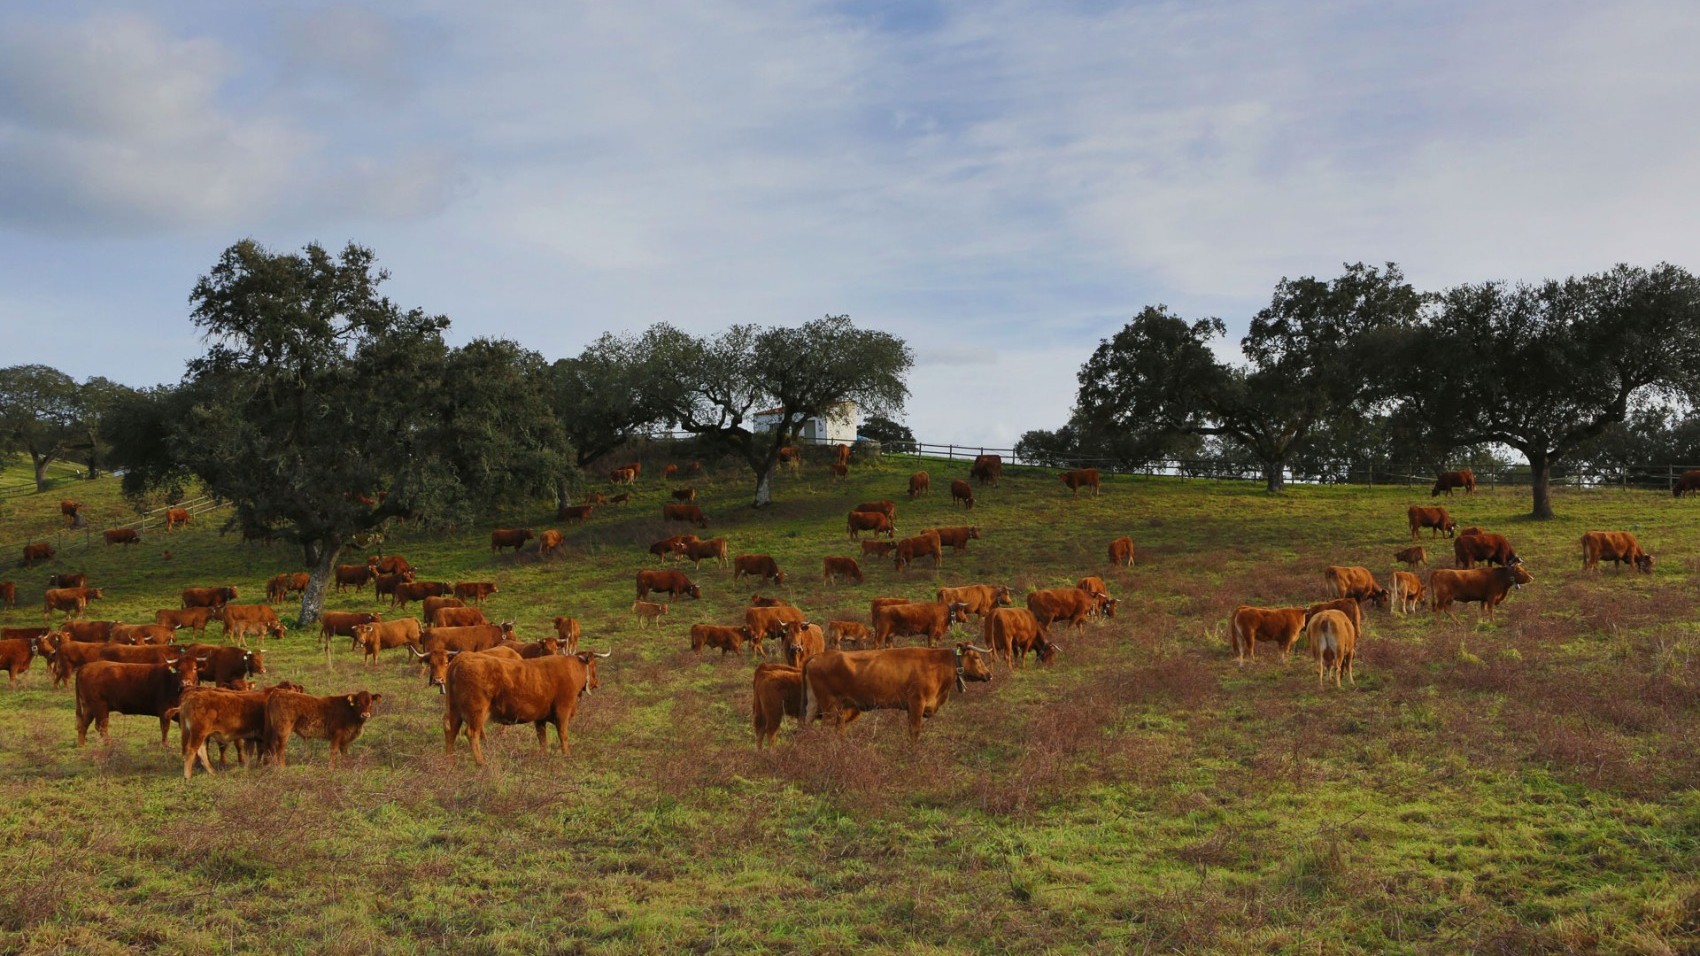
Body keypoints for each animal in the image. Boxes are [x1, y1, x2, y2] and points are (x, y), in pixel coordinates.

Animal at [442, 650, 606, 765]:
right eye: (594, 666)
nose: (597, 683)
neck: (572, 670)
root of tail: (463, 657)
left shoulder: (540, 718)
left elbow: (542, 738)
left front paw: (543, 756)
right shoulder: (563, 712)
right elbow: (563, 735)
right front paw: (567, 756)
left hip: (455, 711)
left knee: (451, 731)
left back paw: (450, 761)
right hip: (476, 713)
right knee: (471, 733)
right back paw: (481, 762)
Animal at [802, 644, 994, 739]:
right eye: (977, 657)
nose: (989, 675)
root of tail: (817, 656)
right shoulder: (916, 703)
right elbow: (914, 731)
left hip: (818, 705)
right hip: (830, 707)